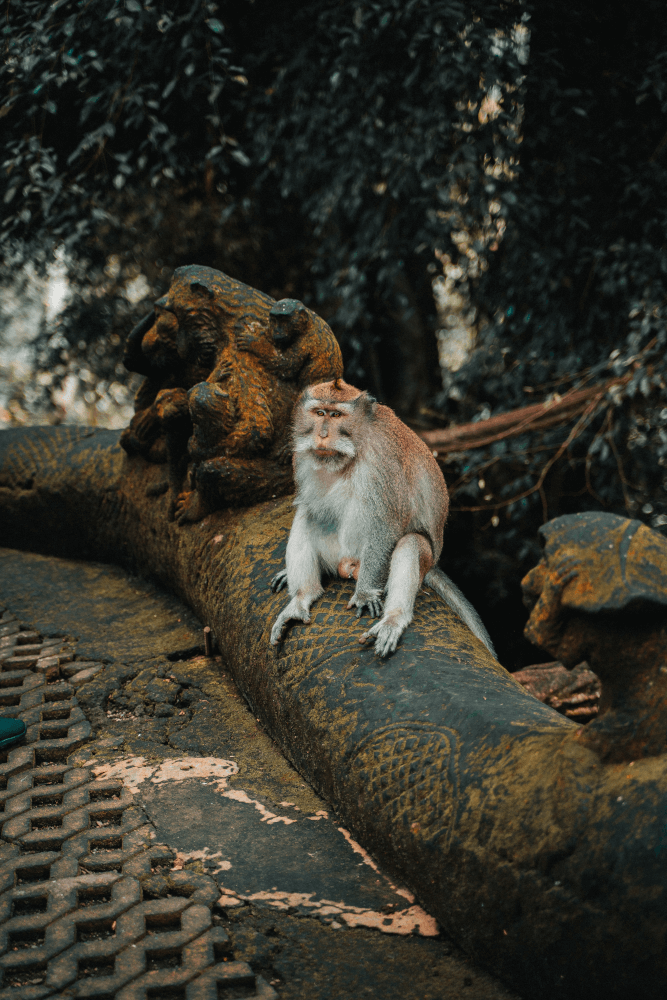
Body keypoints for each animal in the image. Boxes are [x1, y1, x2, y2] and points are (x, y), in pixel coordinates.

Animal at [268, 378, 496, 660]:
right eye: (319, 413)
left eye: (336, 415)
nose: (322, 435)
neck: (353, 447)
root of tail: (347, 565)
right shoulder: (301, 457)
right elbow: (309, 507)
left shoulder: (382, 459)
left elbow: (386, 524)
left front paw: (365, 594)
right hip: (336, 553)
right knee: (307, 514)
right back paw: (301, 598)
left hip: (388, 562)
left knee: (411, 542)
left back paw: (393, 619)